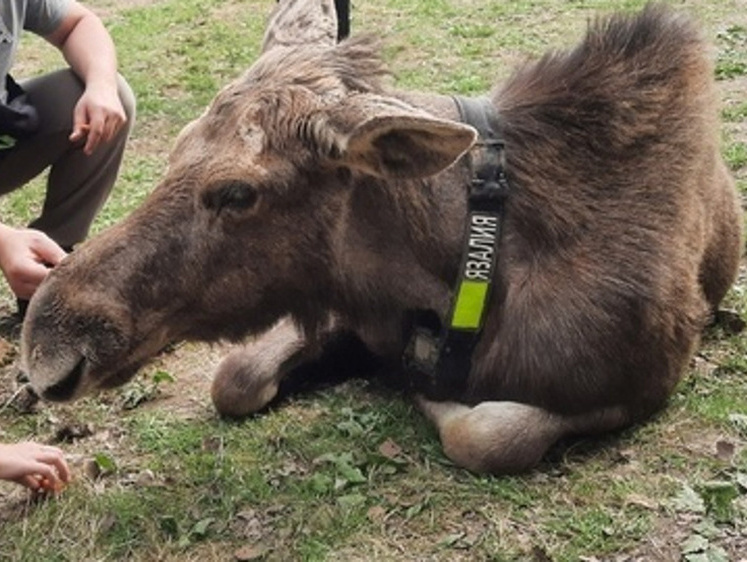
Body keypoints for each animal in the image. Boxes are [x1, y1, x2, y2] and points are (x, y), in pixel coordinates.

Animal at [20, 1, 740, 472]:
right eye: (174, 150)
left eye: (238, 193)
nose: (48, 342)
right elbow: (236, 377)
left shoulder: (642, 383)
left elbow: (484, 434)